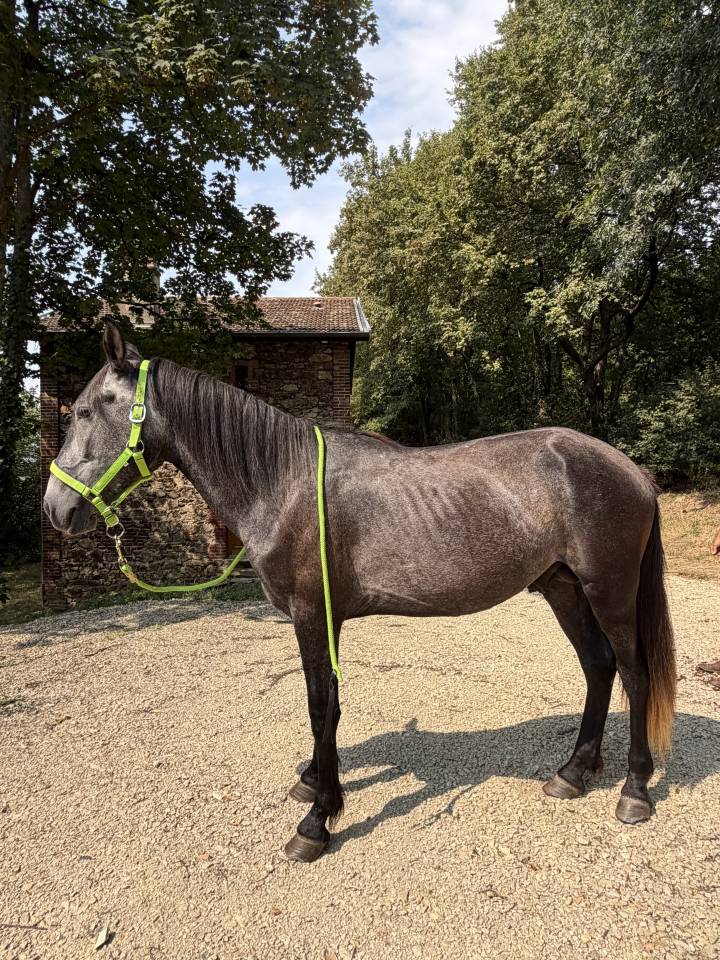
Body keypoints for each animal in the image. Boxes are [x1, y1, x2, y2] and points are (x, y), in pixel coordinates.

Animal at [43, 322, 677, 862]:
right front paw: (313, 782)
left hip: (609, 590)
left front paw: (317, 821)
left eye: (84, 410)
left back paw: (634, 791)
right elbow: (330, 705)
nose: (56, 508)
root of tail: (632, 470)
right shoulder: (325, 618)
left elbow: (320, 704)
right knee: (598, 666)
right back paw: (573, 772)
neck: (284, 482)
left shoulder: (310, 615)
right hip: (563, 588)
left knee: (634, 671)